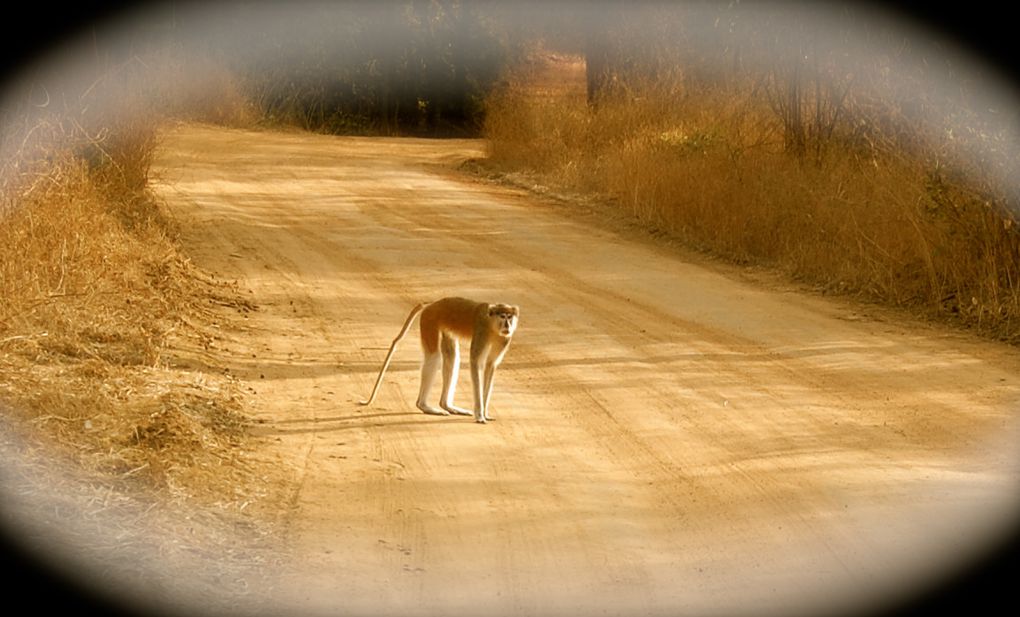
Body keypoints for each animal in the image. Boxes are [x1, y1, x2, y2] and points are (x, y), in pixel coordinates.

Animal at [359, 297, 518, 424]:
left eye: (510, 317)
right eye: (503, 316)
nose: (508, 325)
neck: (492, 325)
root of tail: (433, 303)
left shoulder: (504, 338)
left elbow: (491, 364)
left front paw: (485, 413)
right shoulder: (482, 331)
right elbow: (475, 362)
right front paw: (479, 415)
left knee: (452, 357)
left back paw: (446, 405)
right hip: (429, 320)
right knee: (434, 356)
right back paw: (424, 406)